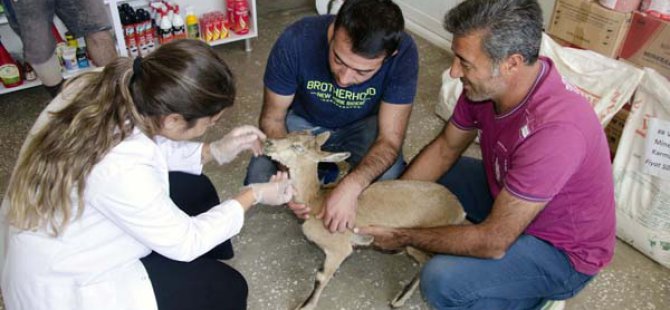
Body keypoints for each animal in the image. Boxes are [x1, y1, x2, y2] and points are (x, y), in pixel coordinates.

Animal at [264, 131, 468, 310]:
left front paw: (305, 306)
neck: (316, 202)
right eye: (288, 134)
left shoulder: (339, 249)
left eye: (297, 146)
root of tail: (459, 210)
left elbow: (321, 276)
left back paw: (398, 300)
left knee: (427, 261)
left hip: (421, 240)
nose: (268, 143)